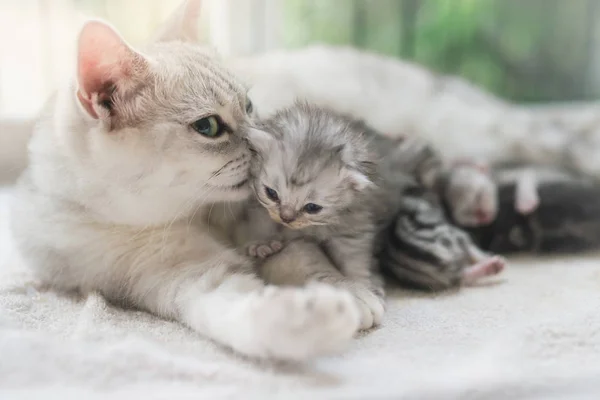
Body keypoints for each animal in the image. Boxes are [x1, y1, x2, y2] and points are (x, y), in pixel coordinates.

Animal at [234, 101, 384, 330]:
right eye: (271, 193)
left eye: (312, 207)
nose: (286, 217)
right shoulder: (257, 206)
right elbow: (260, 223)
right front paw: (261, 243)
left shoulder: (352, 222)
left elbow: (353, 257)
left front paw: (361, 283)